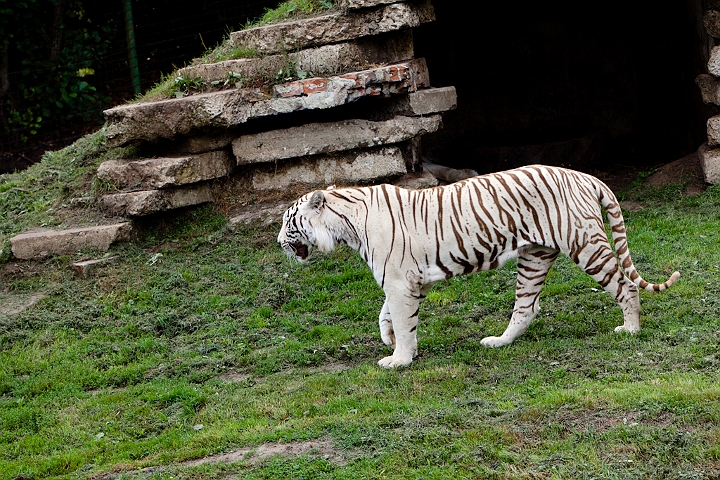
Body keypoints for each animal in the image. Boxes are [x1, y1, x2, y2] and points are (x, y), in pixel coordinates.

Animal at [277, 164, 680, 368]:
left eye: (287, 221)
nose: (279, 241)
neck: (345, 225)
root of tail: (586, 176)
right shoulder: (409, 281)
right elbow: (387, 315)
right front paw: (392, 341)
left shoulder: (398, 281)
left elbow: (402, 321)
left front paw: (399, 359)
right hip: (535, 257)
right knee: (527, 307)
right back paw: (499, 342)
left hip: (586, 245)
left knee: (625, 285)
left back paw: (630, 329)